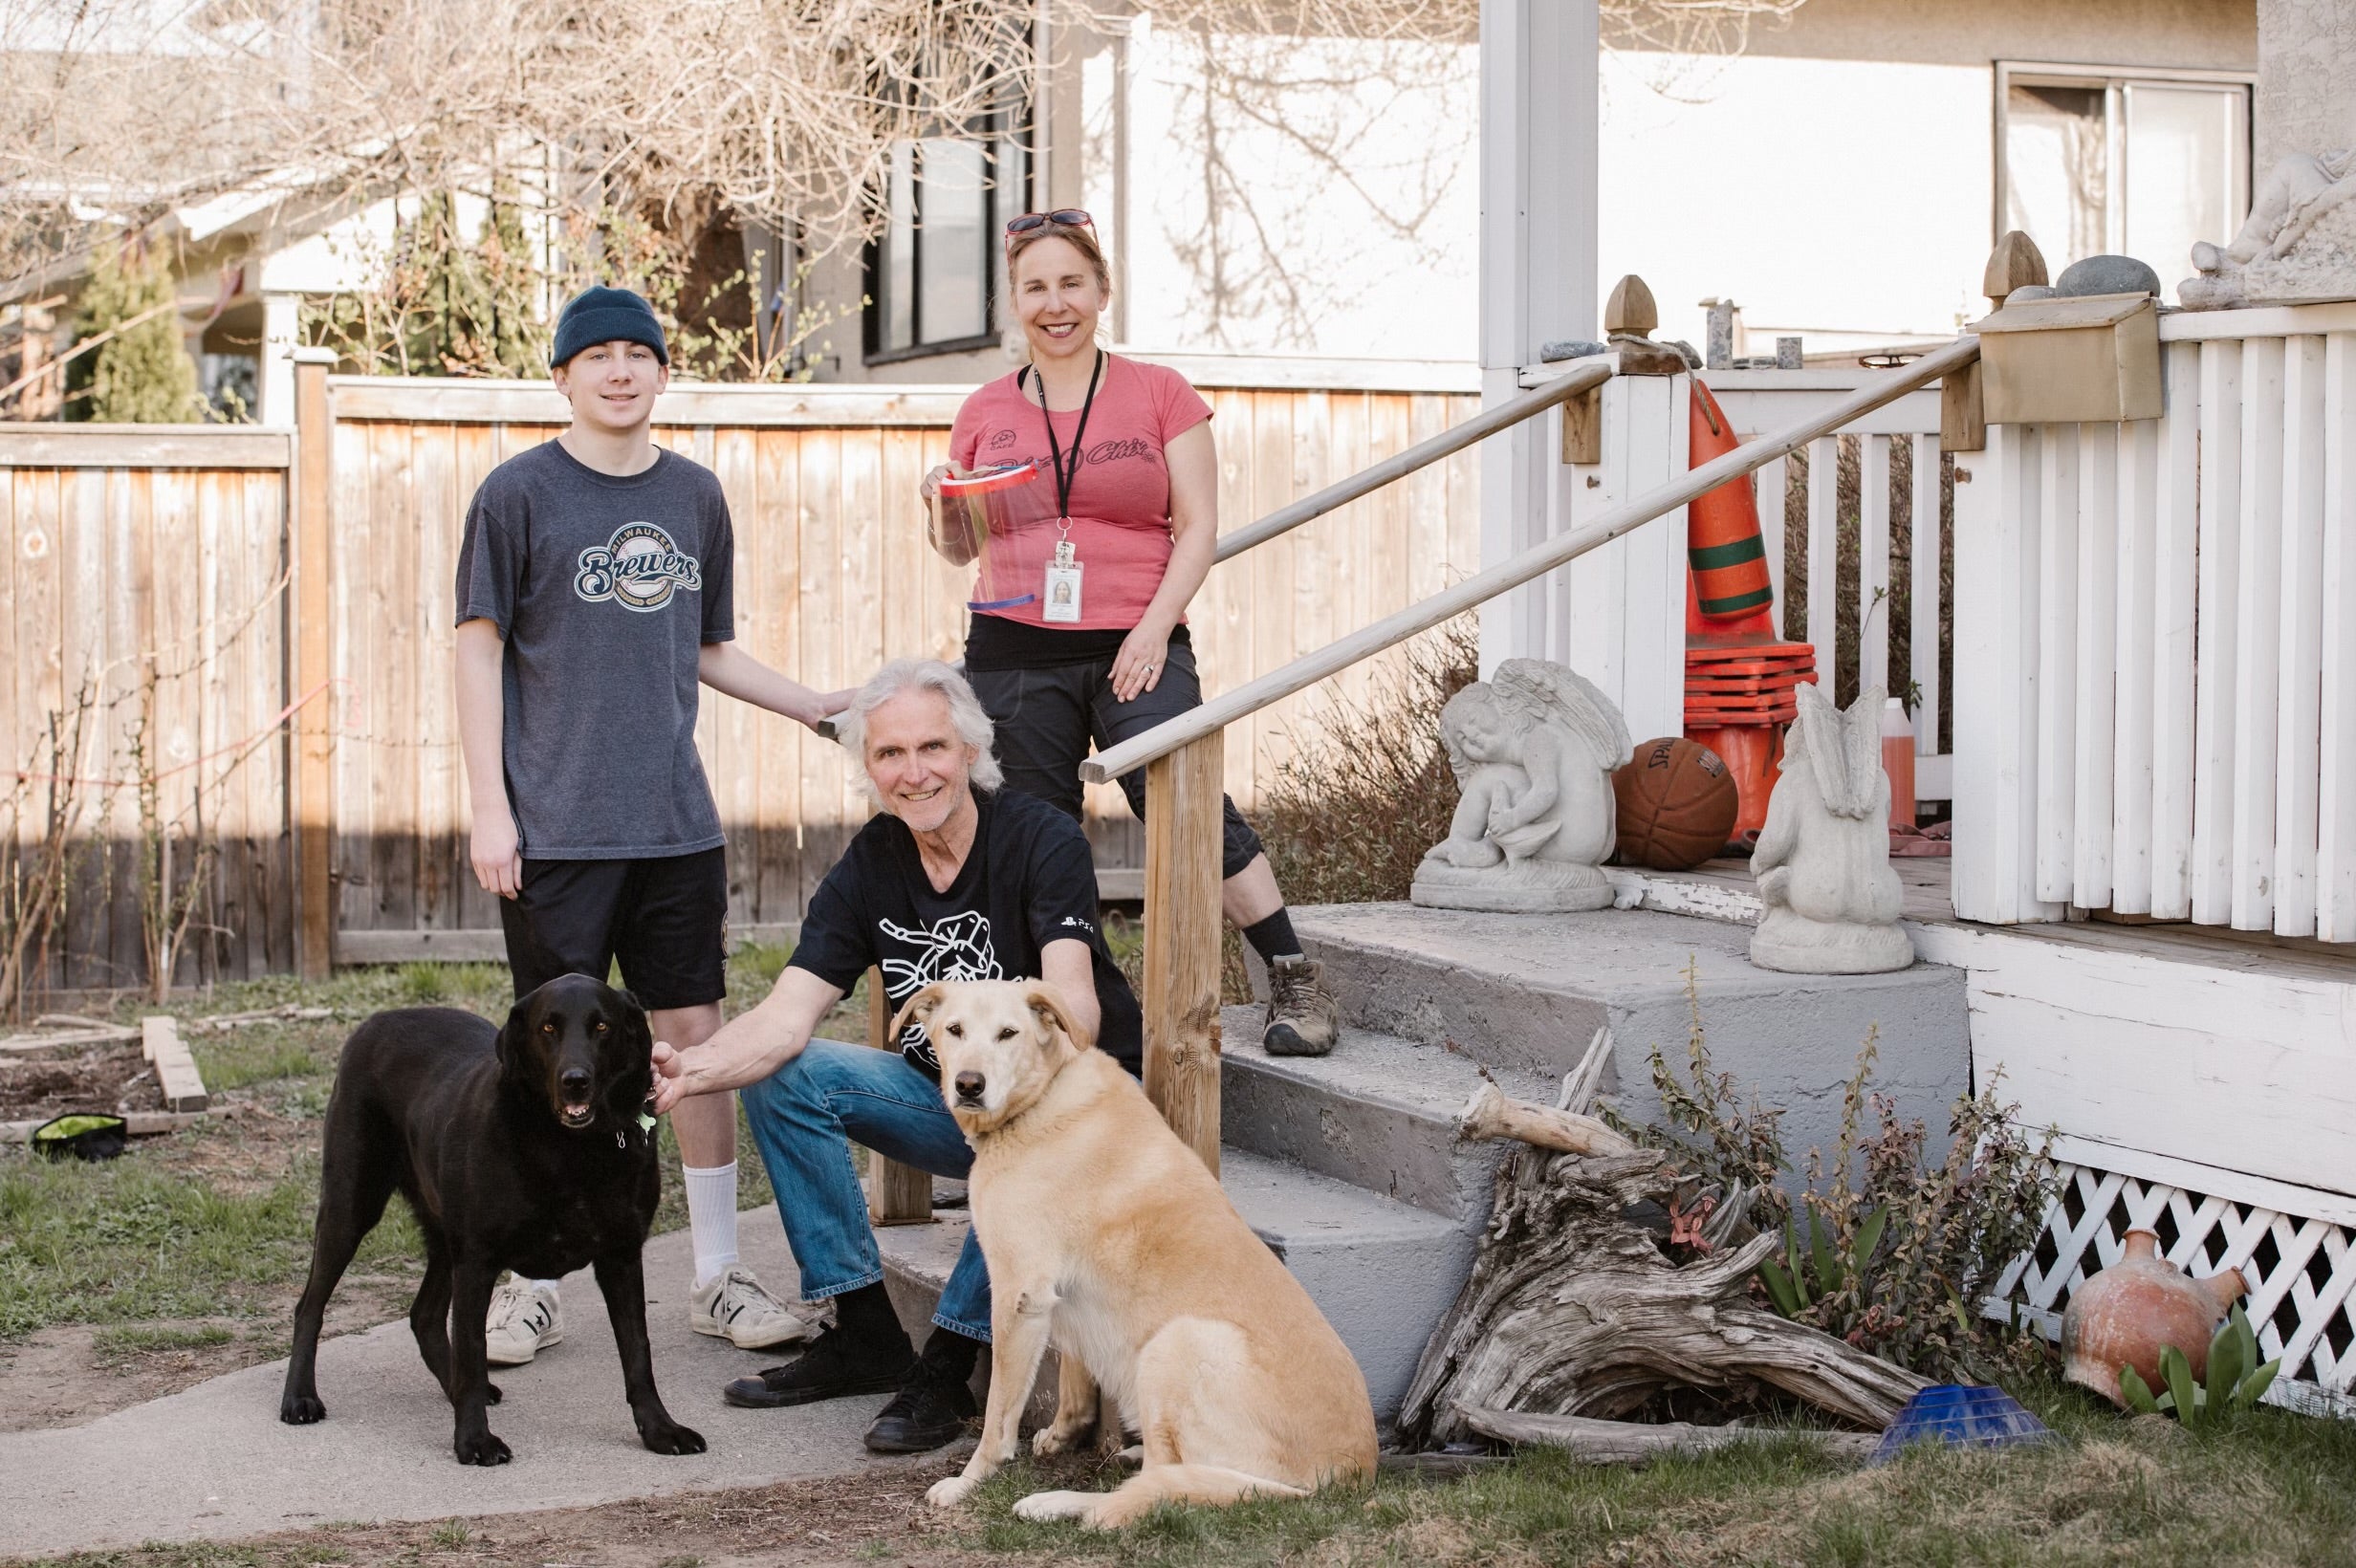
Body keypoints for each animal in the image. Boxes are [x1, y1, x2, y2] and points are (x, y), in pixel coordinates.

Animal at [276, 969, 697, 1459]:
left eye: (602, 1026)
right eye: (548, 1028)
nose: (575, 1080)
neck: (571, 1149)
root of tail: (376, 1020)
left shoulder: (622, 1256)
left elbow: (638, 1354)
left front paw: (660, 1429)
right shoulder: (477, 1260)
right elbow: (473, 1353)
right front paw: (474, 1440)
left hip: (444, 1234)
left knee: (424, 1316)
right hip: (351, 1206)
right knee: (309, 1306)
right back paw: (299, 1397)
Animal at [900, 979, 1375, 1525]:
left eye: (1008, 1033)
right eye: (955, 1030)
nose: (969, 1085)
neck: (1042, 1096)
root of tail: (1353, 1473)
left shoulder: (1019, 1296)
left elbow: (999, 1416)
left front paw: (967, 1483)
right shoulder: (1055, 1298)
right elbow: (1073, 1378)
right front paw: (1061, 1434)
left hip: (1177, 1342)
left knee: (1154, 1489)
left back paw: (1059, 1502)